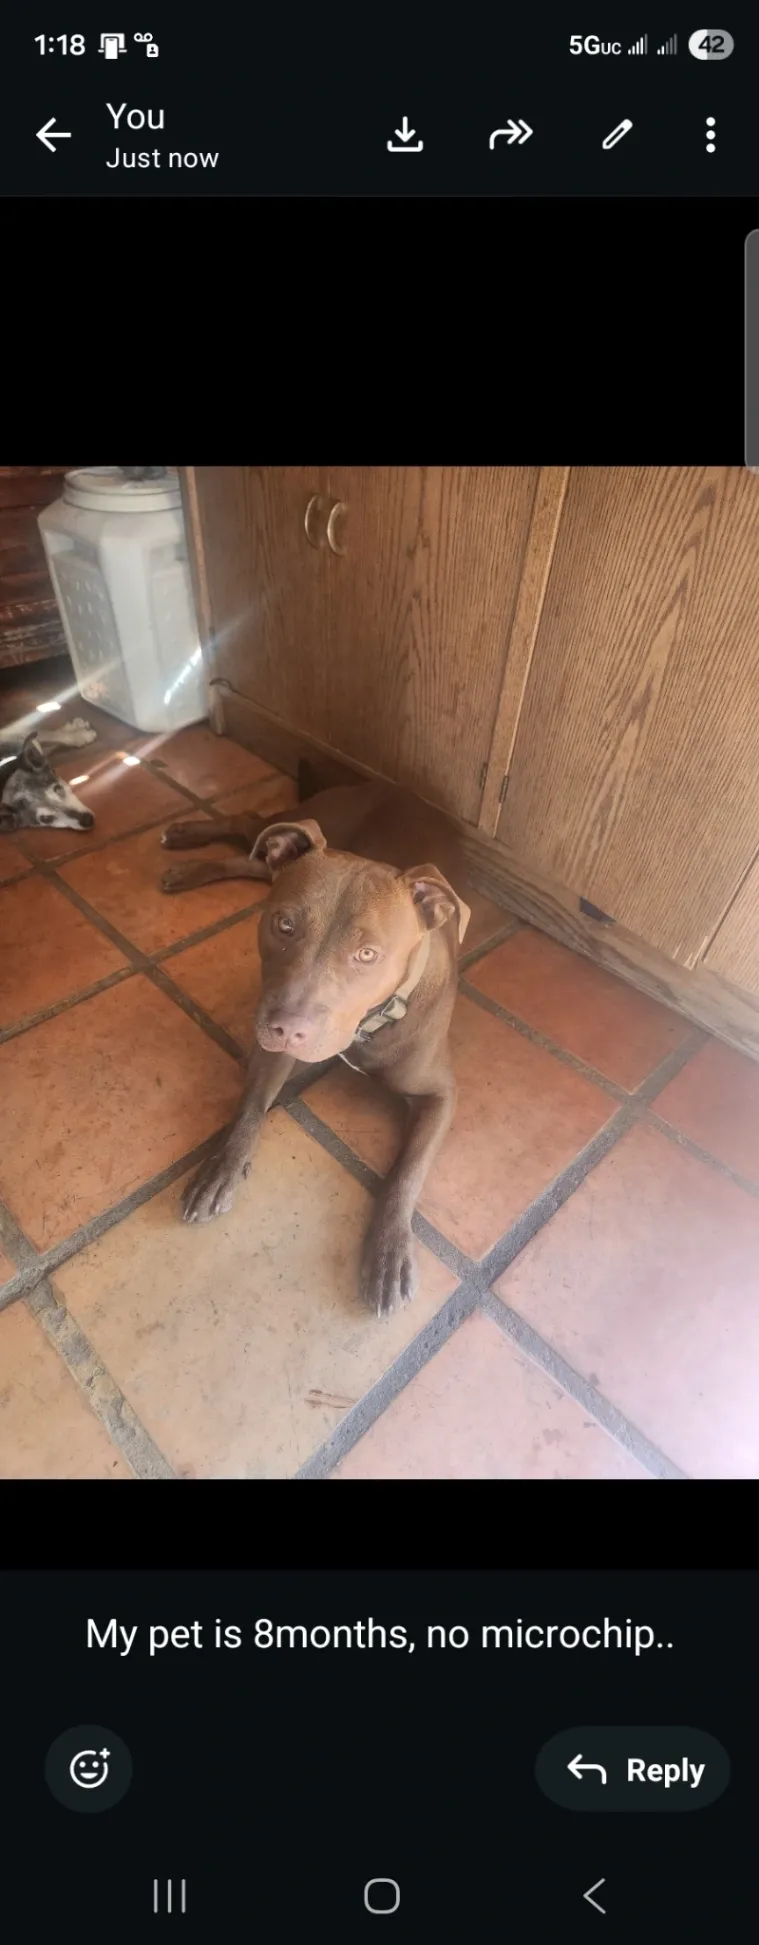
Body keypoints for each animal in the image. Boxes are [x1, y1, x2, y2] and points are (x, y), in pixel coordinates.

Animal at [159, 771, 473, 1316]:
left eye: (367, 955)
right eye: (284, 924)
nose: (287, 1027)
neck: (371, 1024)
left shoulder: (439, 1095)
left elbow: (407, 1174)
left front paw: (389, 1249)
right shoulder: (273, 1050)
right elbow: (249, 1110)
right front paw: (221, 1167)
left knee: (249, 859)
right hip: (295, 835)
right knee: (247, 830)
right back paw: (185, 843)